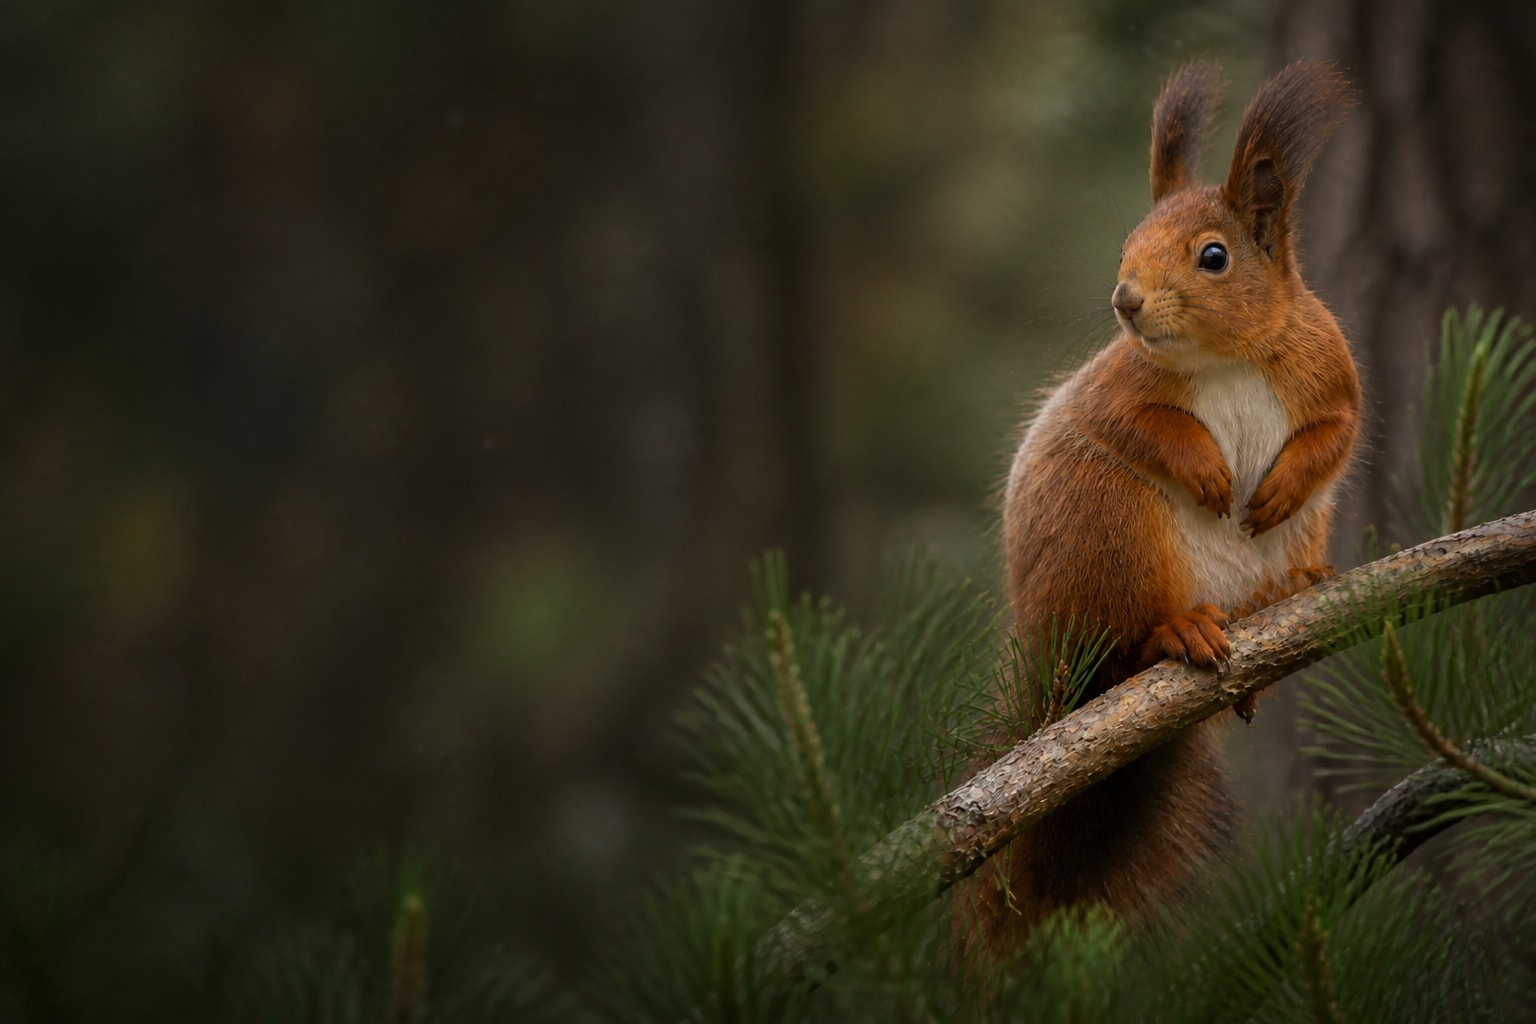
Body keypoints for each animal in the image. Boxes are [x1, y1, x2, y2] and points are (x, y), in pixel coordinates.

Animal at [961, 61, 1360, 953]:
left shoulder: (1331, 372)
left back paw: (1290, 595)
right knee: (1122, 650)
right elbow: (1138, 426)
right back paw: (1174, 634)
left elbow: (1335, 436)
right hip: (1111, 532)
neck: (1225, 355)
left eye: (1213, 256)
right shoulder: (1115, 388)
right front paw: (1209, 471)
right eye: (1127, 244)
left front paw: (1279, 485)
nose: (1125, 301)